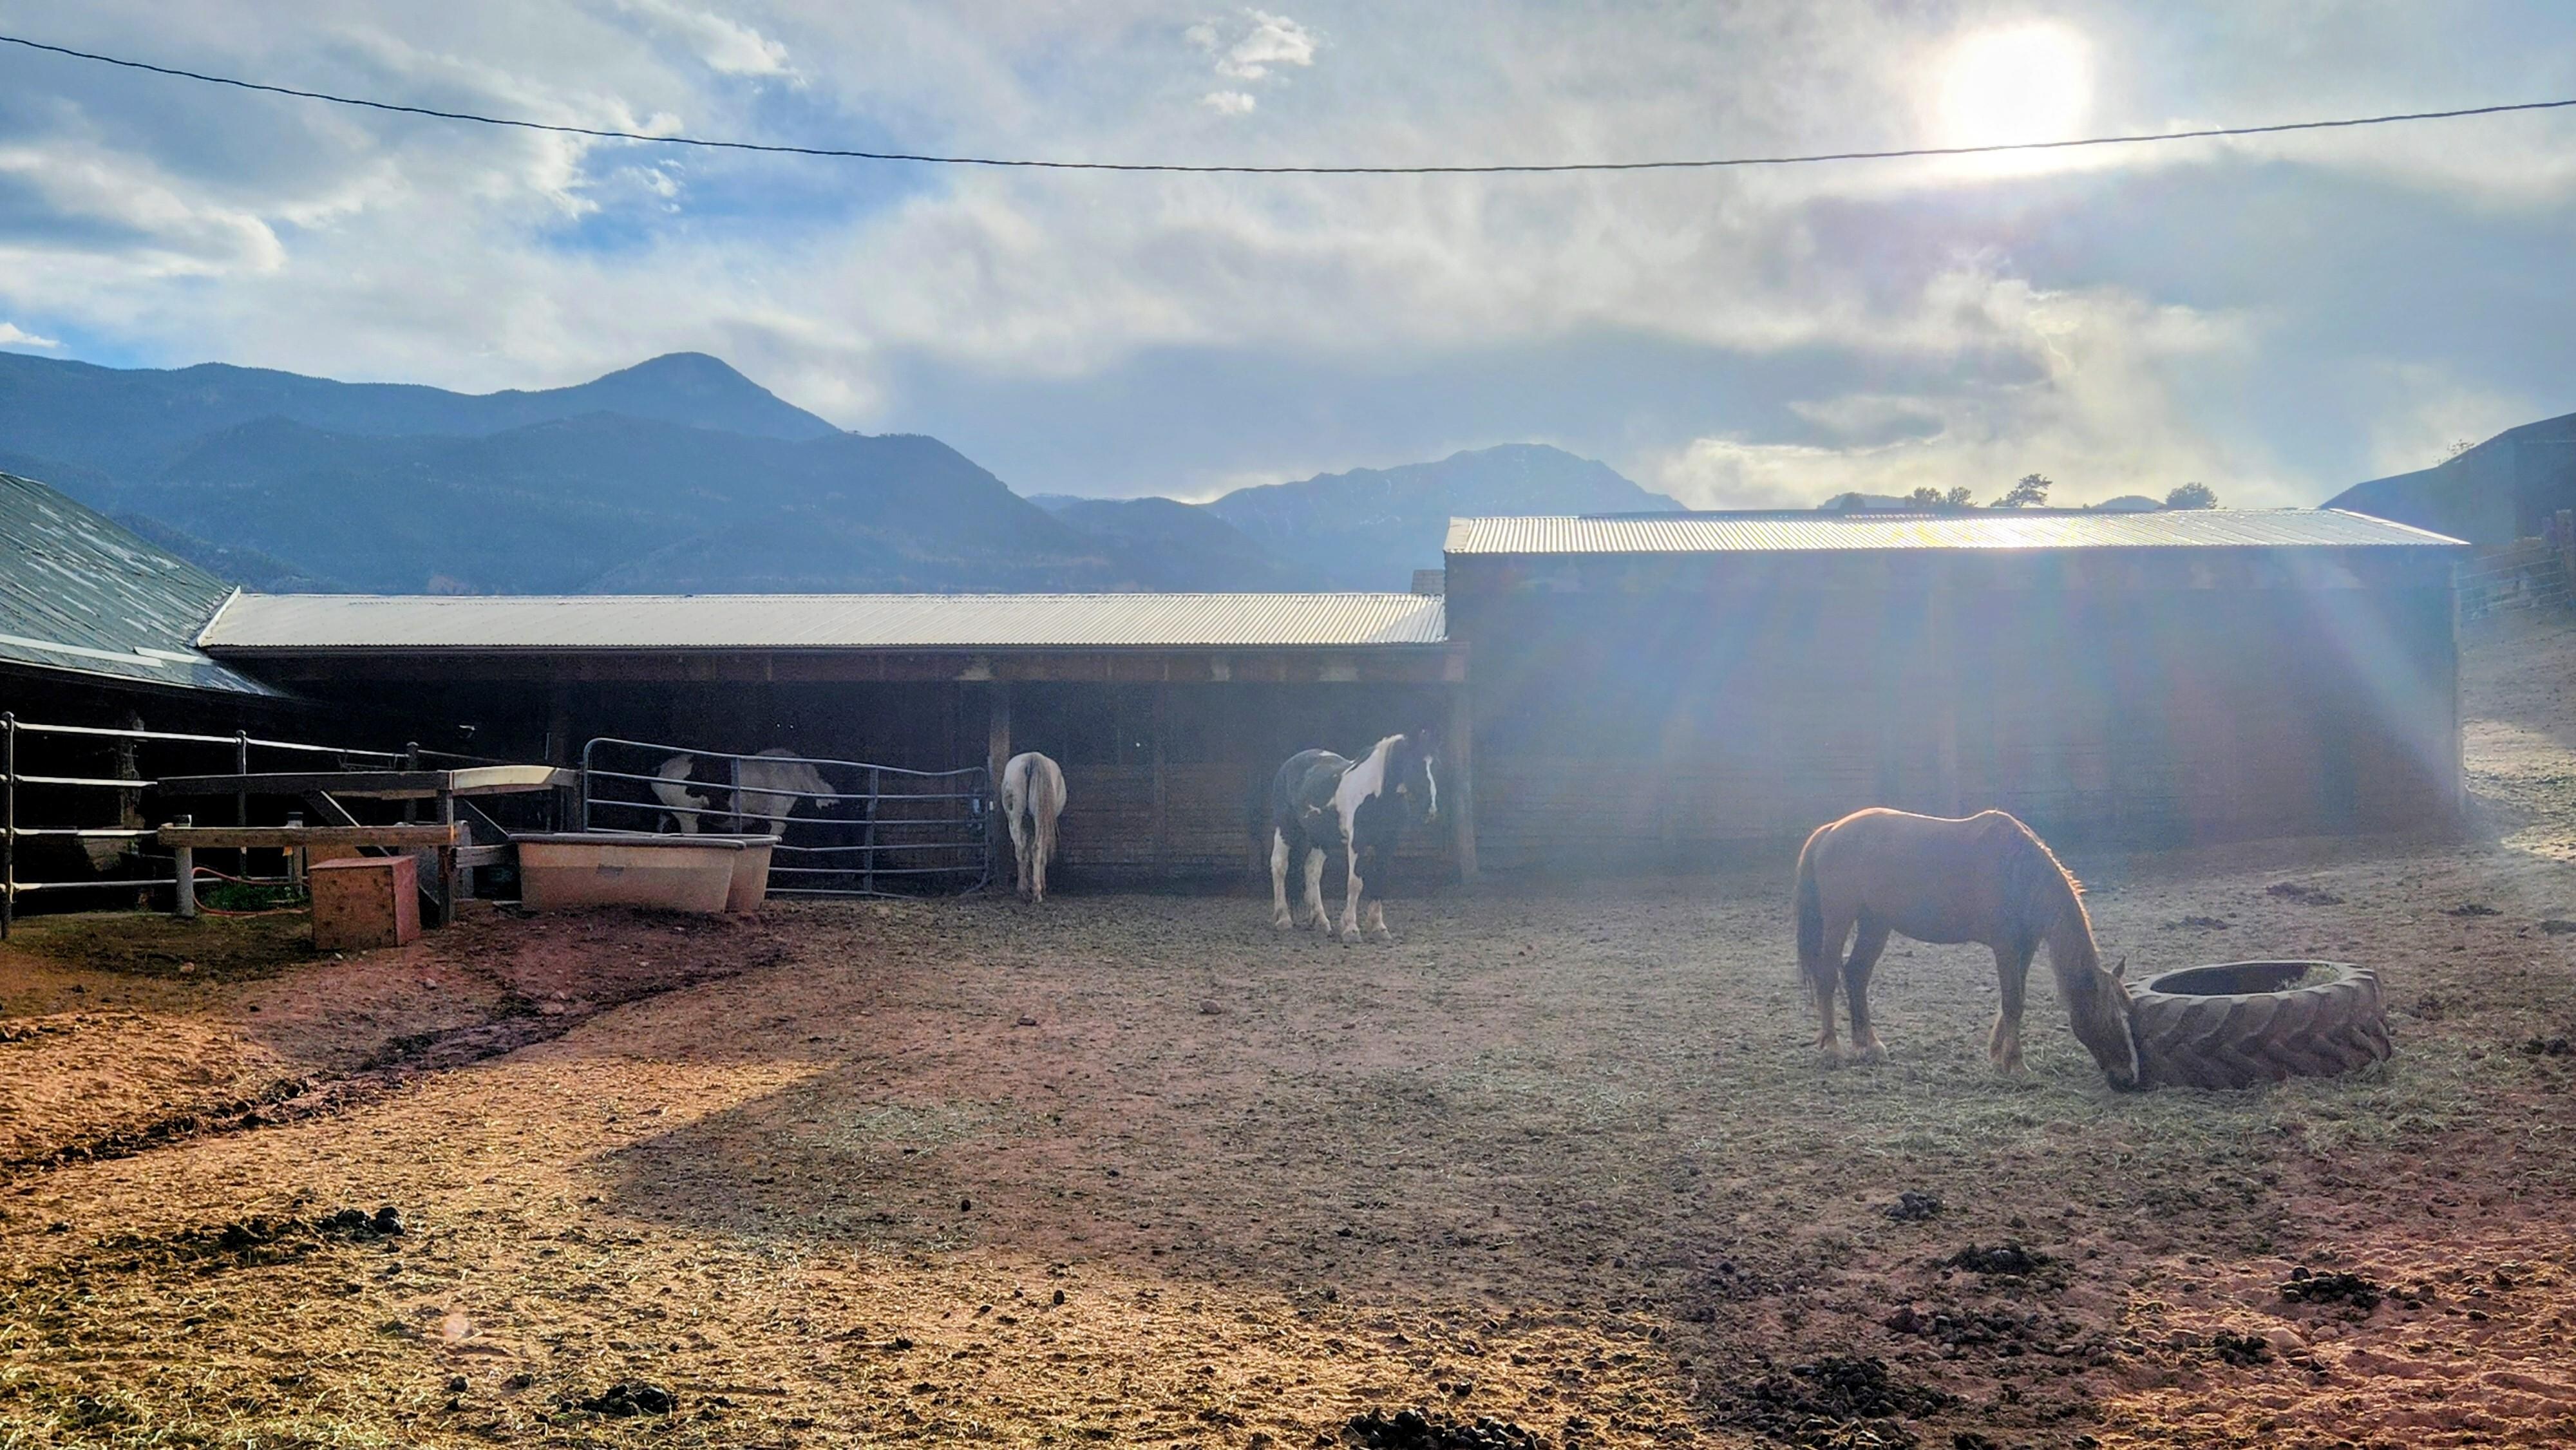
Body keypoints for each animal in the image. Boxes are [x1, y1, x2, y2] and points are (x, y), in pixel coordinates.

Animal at [1000, 751, 1066, 902]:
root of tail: (1032, 757)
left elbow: (1026, 852)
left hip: (1015, 818)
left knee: (1020, 849)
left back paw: (1023, 890)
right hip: (1039, 819)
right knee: (1037, 848)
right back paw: (1037, 893)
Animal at [1268, 730, 1439, 943]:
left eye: (1434, 764)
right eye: (1415, 764)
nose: (1431, 810)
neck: (1377, 795)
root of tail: (1288, 765)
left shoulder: (1388, 844)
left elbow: (1379, 879)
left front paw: (1379, 928)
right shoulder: (1357, 842)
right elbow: (1355, 883)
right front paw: (1351, 929)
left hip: (1321, 838)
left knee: (1312, 871)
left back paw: (1321, 921)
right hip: (1284, 828)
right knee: (1279, 865)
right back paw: (1283, 919)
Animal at [1792, 807, 2140, 1089]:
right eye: (2110, 1017)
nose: (2127, 1079)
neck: (2018, 873)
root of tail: (1831, 830)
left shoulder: (2025, 946)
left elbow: (2014, 1000)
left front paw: (1999, 1056)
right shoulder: (2005, 946)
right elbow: (2013, 1003)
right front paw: (2016, 1065)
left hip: (1876, 924)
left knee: (1856, 974)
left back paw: (1868, 1045)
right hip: (1840, 919)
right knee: (1828, 976)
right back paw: (1833, 1049)